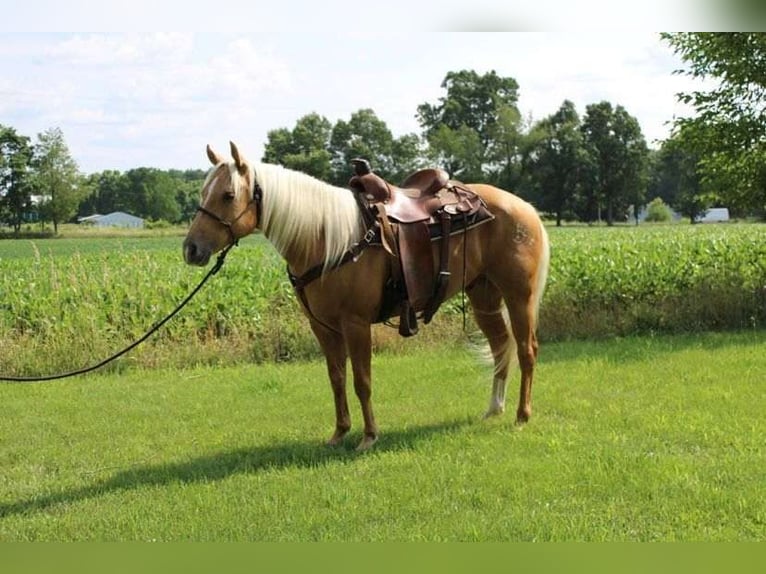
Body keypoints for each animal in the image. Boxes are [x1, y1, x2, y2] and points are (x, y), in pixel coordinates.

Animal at [185, 142, 552, 452]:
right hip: (483, 296)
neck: (325, 238)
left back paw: (522, 415)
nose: (191, 249)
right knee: (500, 345)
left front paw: (369, 437)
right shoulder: (323, 327)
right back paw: (494, 409)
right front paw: (339, 433)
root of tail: (525, 208)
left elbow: (362, 380)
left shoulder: (356, 323)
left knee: (526, 350)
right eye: (203, 192)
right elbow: (336, 379)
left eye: (228, 195)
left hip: (519, 296)